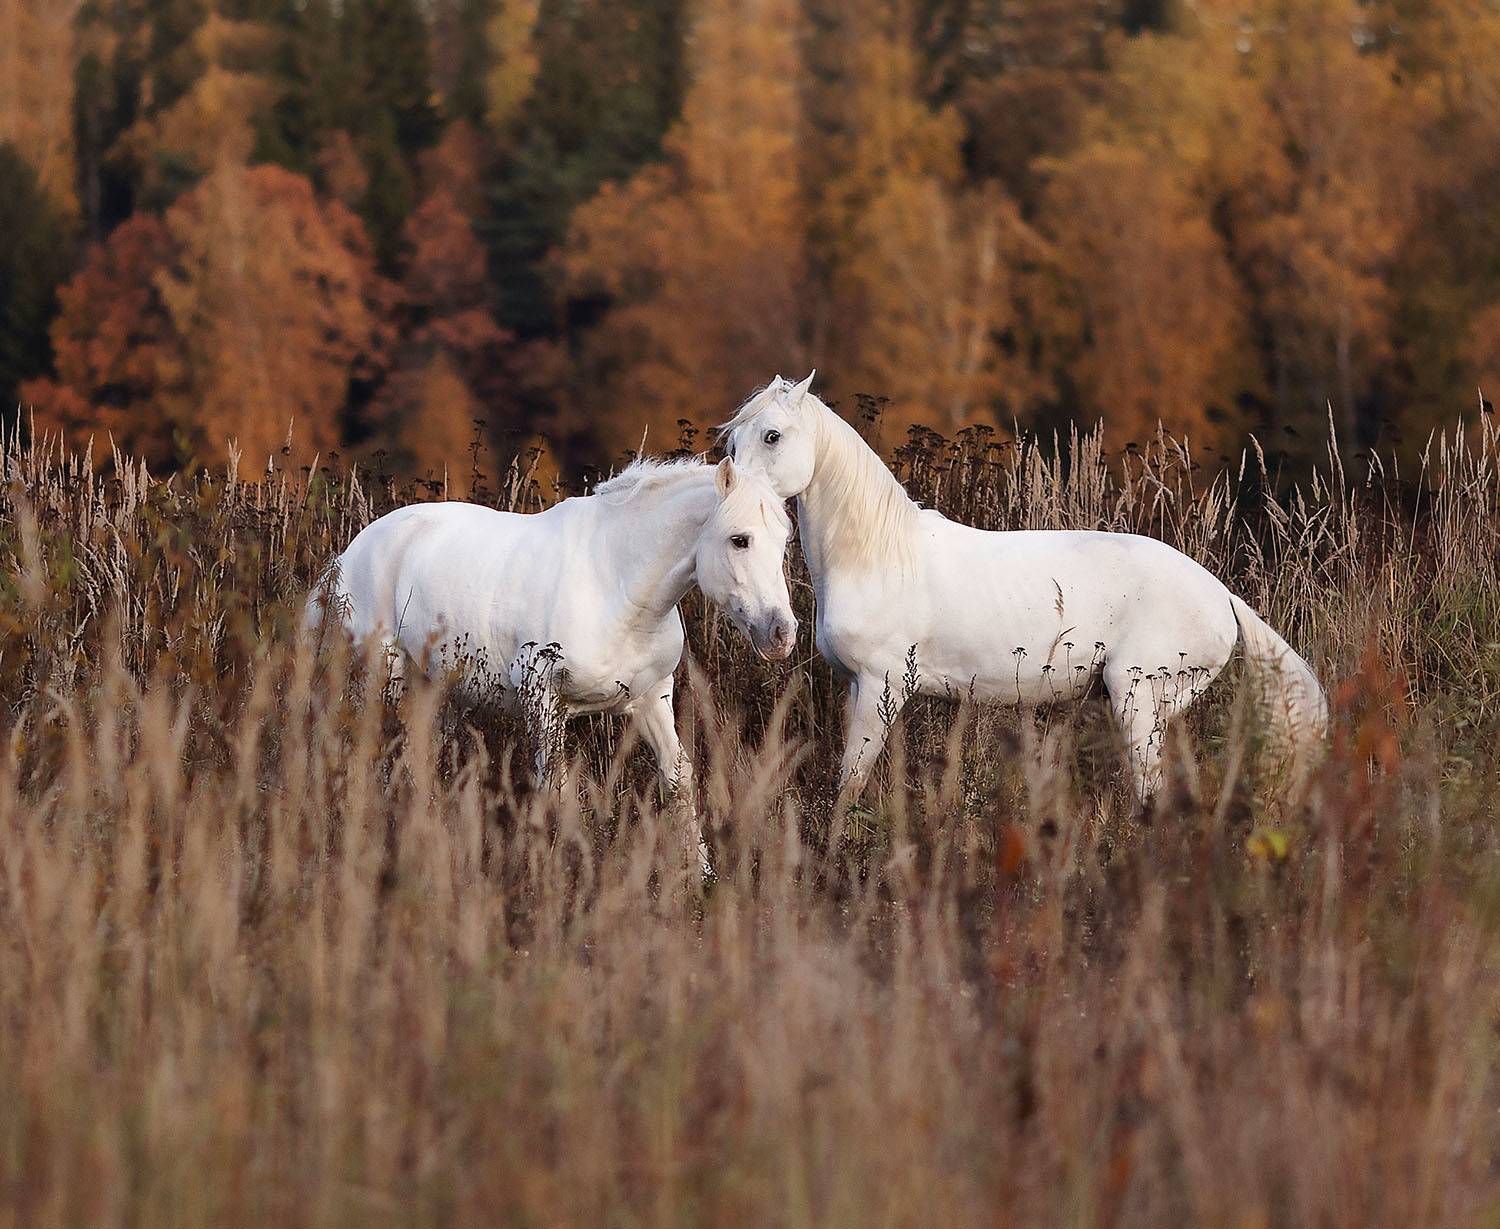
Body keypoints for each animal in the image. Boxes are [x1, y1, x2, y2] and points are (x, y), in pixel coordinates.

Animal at [306, 456, 796, 816]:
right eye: (739, 539)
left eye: (784, 541)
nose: (782, 633)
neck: (615, 582)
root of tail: (351, 553)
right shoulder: (542, 697)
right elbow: (555, 791)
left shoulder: (652, 697)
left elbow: (679, 780)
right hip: (382, 676)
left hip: (436, 690)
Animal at [721, 373, 1327, 806]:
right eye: (734, 437)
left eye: (772, 435)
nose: (732, 496)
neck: (880, 556)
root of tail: (1222, 597)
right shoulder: (855, 687)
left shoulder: (879, 686)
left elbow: (850, 782)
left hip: (1137, 700)